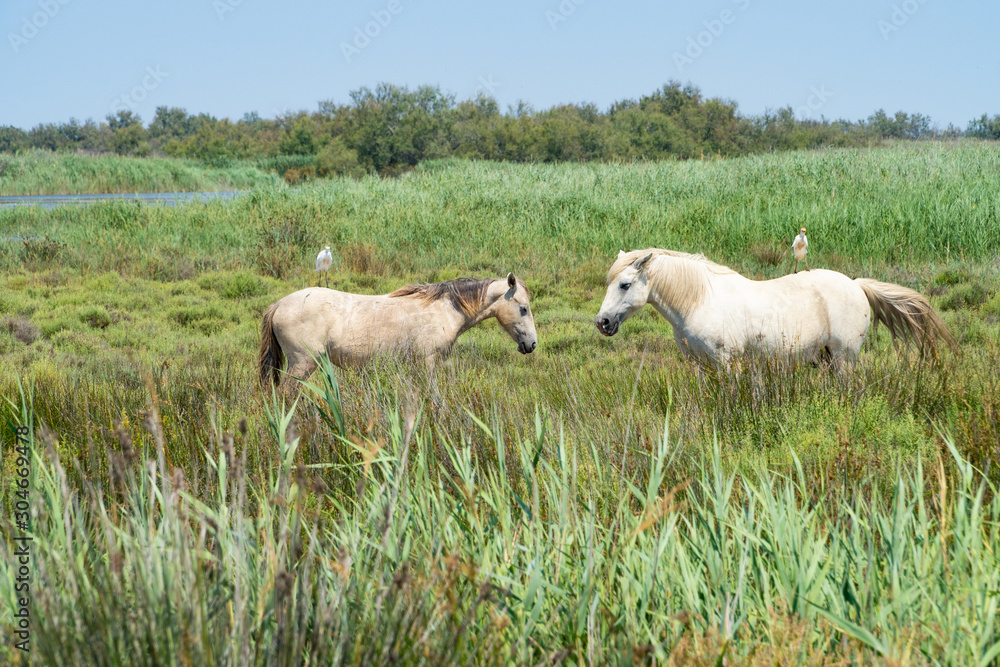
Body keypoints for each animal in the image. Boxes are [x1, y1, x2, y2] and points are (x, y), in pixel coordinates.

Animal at [259, 273, 537, 391]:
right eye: (523, 308)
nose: (532, 344)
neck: (445, 308)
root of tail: (278, 304)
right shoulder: (427, 362)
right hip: (303, 363)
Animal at [595, 249, 956, 366]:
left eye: (624, 284)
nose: (602, 322)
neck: (699, 301)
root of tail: (856, 285)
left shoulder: (729, 361)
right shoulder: (699, 365)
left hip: (844, 357)